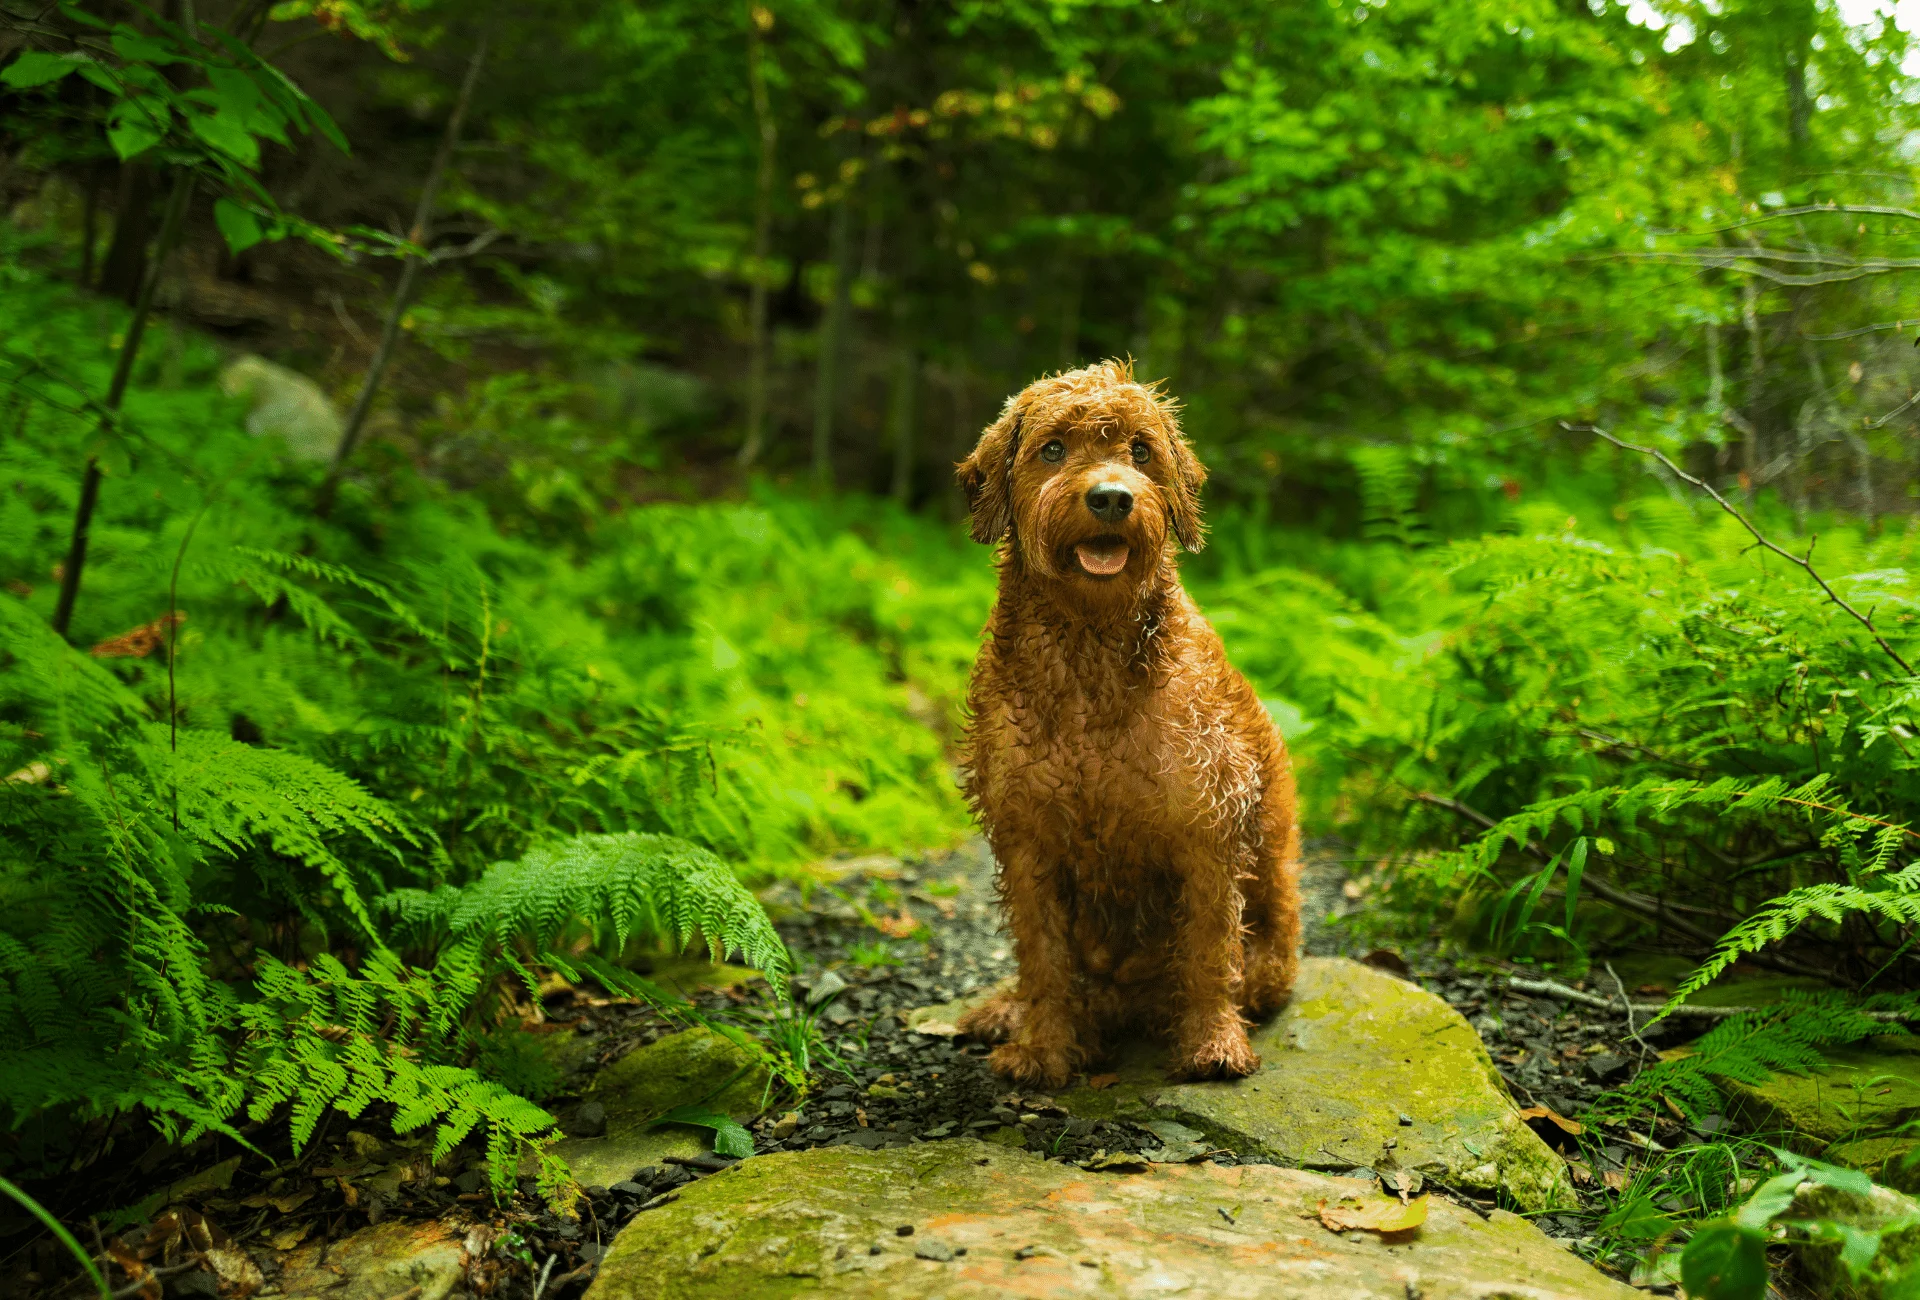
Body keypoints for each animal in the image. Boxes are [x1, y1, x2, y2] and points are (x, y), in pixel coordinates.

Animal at [948, 357, 1297, 1083]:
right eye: (1053, 448)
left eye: (1140, 450)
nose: (1110, 498)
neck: (1089, 652)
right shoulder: (1027, 839)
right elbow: (1042, 960)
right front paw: (1044, 1047)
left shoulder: (1207, 830)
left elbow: (1208, 951)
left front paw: (1214, 1042)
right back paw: (1009, 1011)